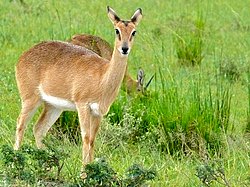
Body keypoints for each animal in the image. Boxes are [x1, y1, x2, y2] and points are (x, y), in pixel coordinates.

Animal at [14, 6, 143, 171]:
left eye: (134, 31)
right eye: (117, 30)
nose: (124, 48)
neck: (102, 77)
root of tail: (23, 56)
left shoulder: (98, 112)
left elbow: (92, 140)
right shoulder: (83, 106)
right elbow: (86, 138)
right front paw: (83, 173)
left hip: (53, 107)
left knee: (38, 129)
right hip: (30, 100)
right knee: (20, 124)